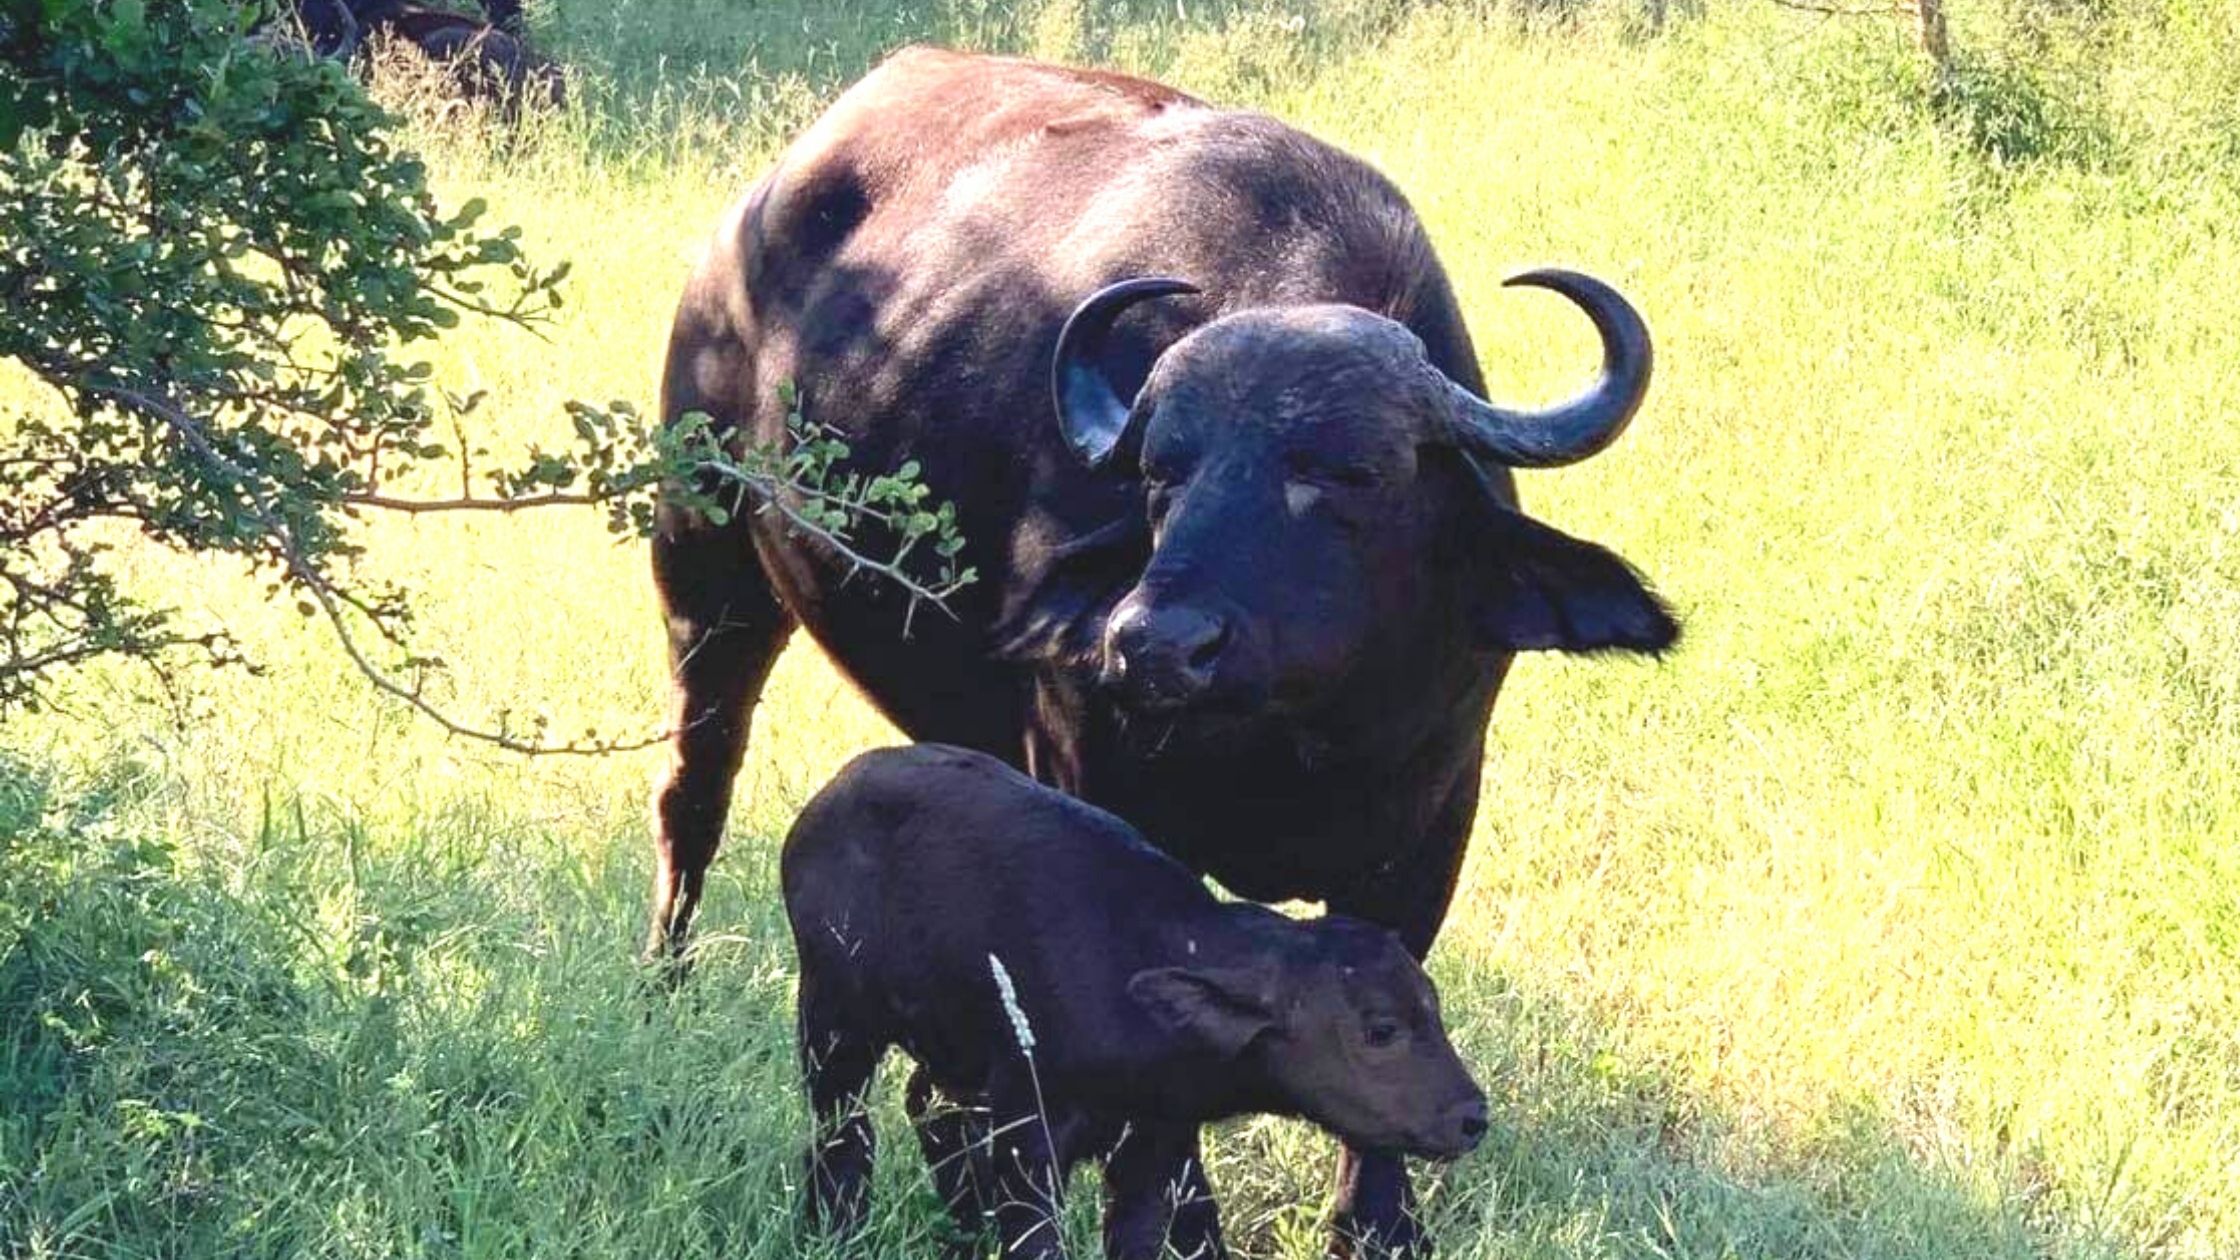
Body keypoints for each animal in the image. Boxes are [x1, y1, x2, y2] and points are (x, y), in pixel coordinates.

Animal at [788, 744, 1487, 1255]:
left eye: (1433, 1010)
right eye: (1381, 1030)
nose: (1472, 1117)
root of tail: (825, 802)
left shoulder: (1152, 1152)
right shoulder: (1027, 1135)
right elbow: (1036, 1239)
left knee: (927, 1104)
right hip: (834, 1015)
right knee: (843, 1126)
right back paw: (834, 1225)